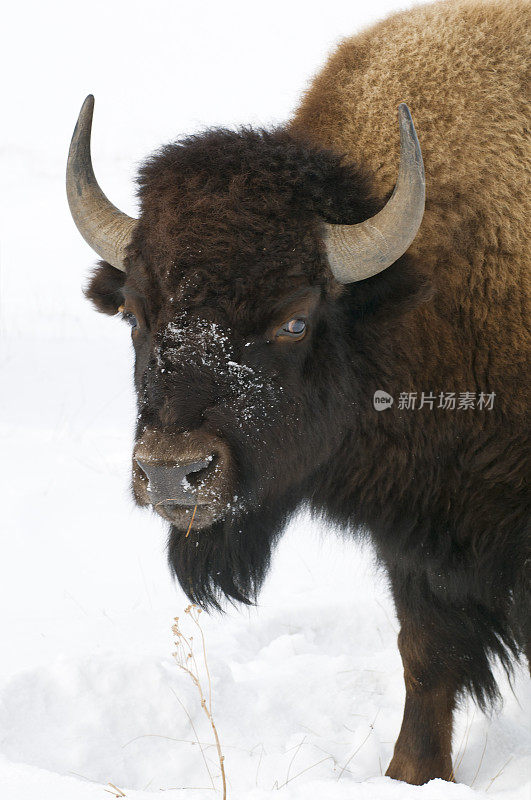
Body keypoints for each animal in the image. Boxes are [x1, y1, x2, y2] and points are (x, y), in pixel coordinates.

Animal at [68, 0, 528, 788]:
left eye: (293, 319)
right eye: (132, 313)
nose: (173, 473)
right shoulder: (419, 545)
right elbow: (426, 658)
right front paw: (407, 775)